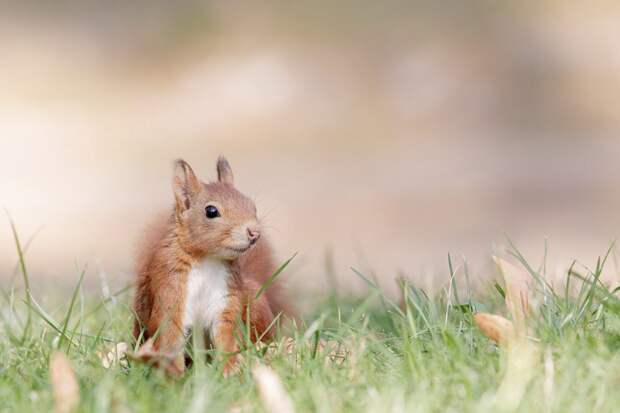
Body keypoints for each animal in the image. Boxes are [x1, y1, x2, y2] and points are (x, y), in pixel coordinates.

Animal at [133, 156, 290, 374]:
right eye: (211, 211)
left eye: (252, 206)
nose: (254, 233)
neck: (207, 259)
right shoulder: (171, 287)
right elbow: (170, 336)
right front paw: (175, 374)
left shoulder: (225, 299)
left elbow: (227, 336)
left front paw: (230, 370)